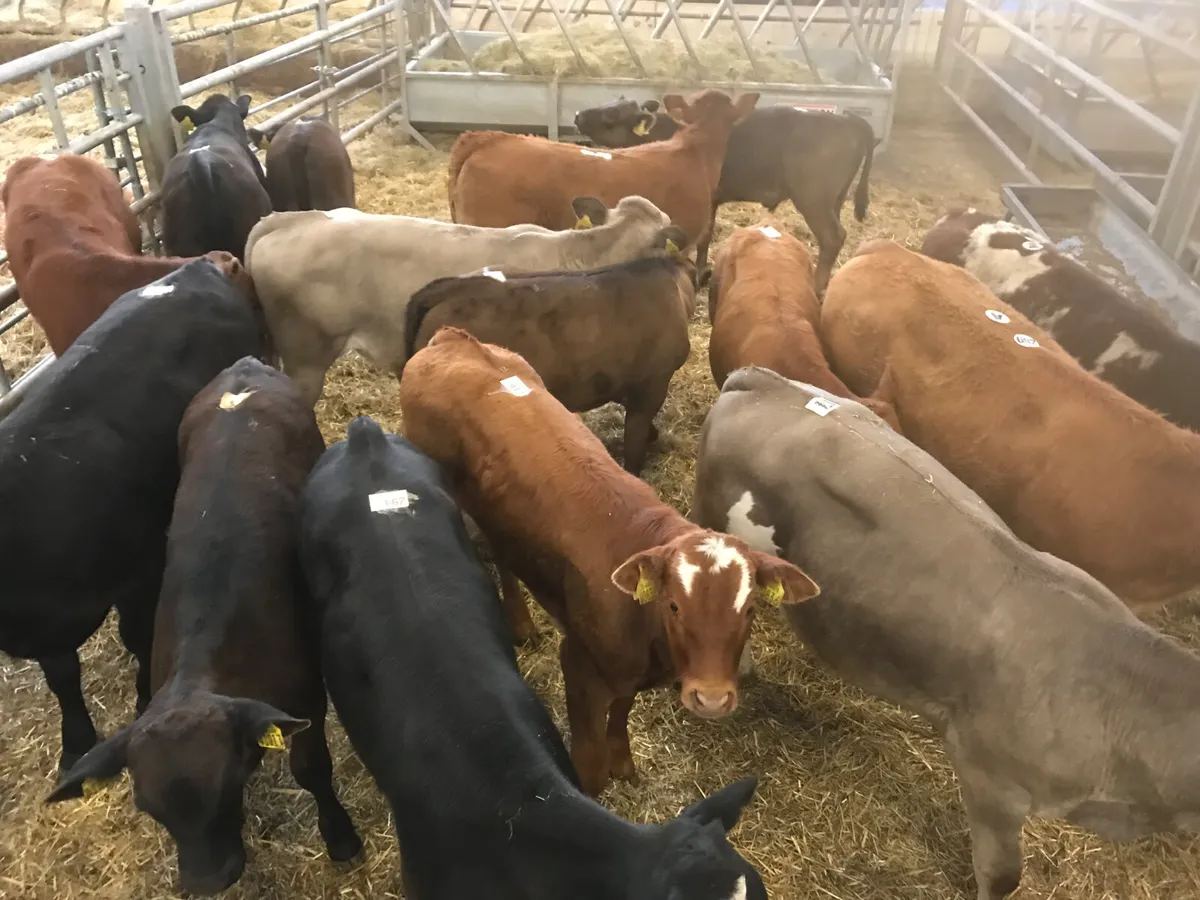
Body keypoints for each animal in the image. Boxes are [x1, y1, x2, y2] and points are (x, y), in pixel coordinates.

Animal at [0, 255, 268, 779]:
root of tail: (199, 265)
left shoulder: (137, 569)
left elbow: (136, 634)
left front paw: (143, 699)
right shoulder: (44, 627)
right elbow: (62, 675)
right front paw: (76, 743)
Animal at [46, 357, 362, 894]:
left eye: (229, 783)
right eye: (148, 807)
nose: (209, 880)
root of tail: (244, 368)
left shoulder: (307, 698)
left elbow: (312, 768)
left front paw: (340, 834)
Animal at [398, 327, 819, 797]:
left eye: (749, 610)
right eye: (674, 605)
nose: (710, 698)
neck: (647, 633)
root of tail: (455, 339)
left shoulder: (630, 677)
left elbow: (621, 714)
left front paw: (623, 761)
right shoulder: (578, 664)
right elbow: (588, 757)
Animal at [573, 97, 875, 294]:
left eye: (612, 115)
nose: (577, 114)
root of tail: (848, 119)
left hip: (813, 199)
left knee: (833, 238)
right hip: (833, 200)